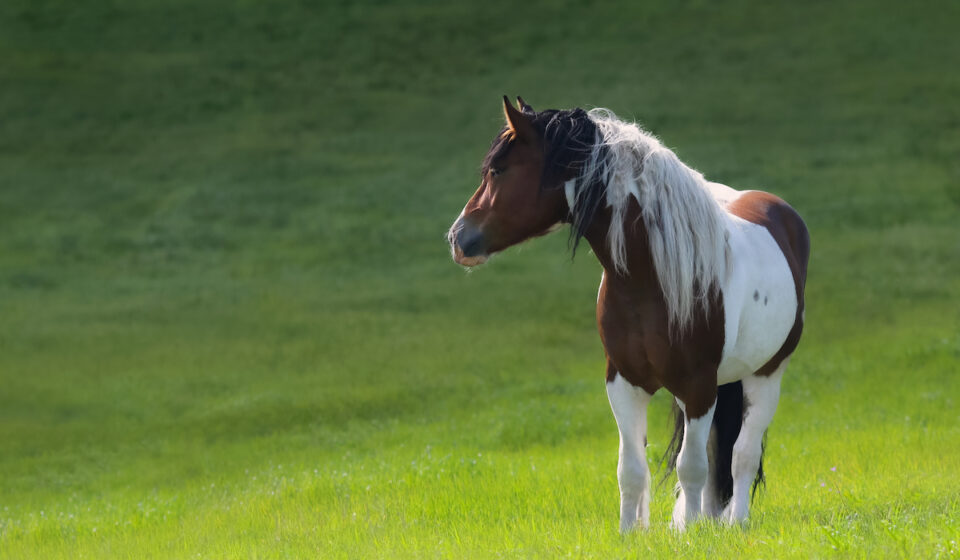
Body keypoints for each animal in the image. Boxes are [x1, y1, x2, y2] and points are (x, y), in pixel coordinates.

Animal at [447, 97, 809, 532]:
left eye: (498, 171)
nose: (457, 237)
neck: (647, 278)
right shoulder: (623, 382)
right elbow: (632, 469)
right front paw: (632, 533)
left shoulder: (698, 387)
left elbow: (691, 466)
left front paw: (687, 535)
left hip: (765, 376)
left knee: (742, 454)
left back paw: (734, 522)